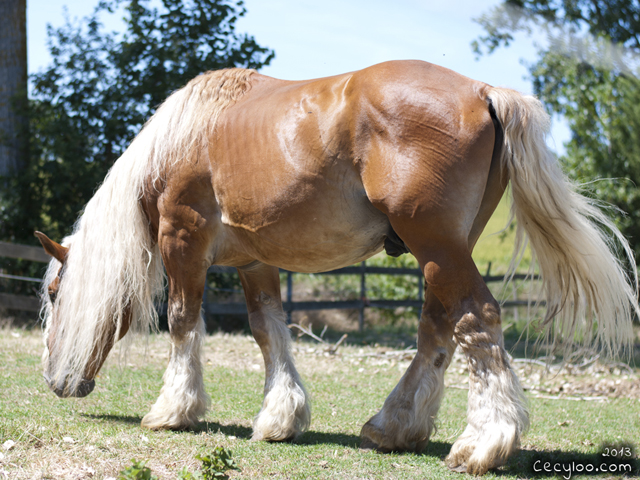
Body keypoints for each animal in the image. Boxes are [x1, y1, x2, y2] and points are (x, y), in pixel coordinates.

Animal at [36, 61, 640, 476]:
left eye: (54, 292)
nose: (55, 382)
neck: (185, 138)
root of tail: (483, 91)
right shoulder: (256, 261)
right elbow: (269, 331)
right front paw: (281, 418)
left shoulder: (182, 240)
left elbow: (184, 321)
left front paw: (173, 410)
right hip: (443, 252)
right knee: (438, 331)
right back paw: (394, 427)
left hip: (437, 247)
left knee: (477, 319)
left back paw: (483, 443)